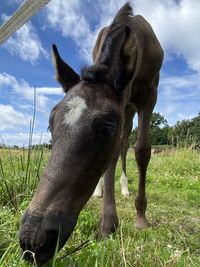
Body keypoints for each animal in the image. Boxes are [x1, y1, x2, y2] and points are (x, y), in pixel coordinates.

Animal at [18, 2, 163, 266]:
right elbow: (111, 161)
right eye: (50, 125)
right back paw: (100, 192)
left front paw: (140, 216)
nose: (32, 241)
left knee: (125, 145)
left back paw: (125, 189)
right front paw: (108, 222)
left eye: (107, 129)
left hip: (131, 108)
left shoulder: (150, 95)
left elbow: (142, 151)